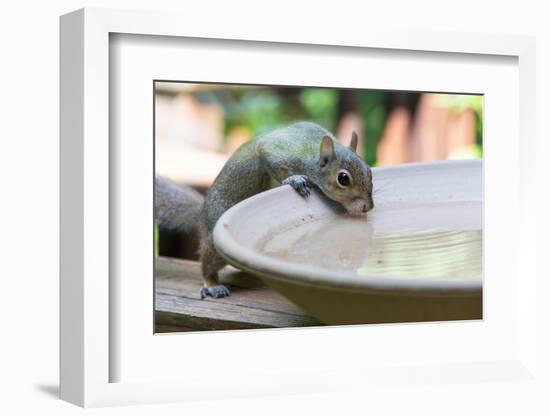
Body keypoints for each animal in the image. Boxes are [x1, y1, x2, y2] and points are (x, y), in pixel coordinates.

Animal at [157, 120, 378, 300]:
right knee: (207, 262)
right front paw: (295, 180)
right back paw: (212, 285)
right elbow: (271, 158)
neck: (312, 156)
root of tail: (202, 213)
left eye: (368, 170)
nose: (368, 206)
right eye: (343, 178)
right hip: (215, 242)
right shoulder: (278, 152)